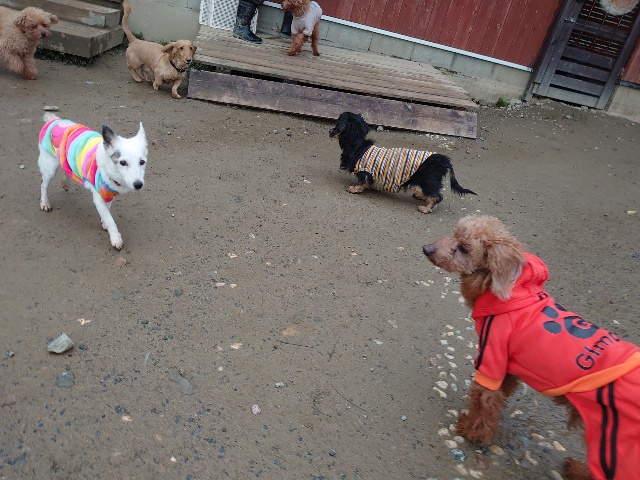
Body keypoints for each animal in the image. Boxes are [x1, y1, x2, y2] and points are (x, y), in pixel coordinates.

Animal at [38, 113, 148, 250]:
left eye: (142, 162)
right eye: (123, 162)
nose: (138, 184)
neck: (112, 172)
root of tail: (54, 120)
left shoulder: (108, 194)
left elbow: (107, 211)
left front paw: (104, 221)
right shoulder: (98, 197)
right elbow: (110, 219)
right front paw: (115, 237)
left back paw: (66, 183)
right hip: (50, 167)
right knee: (44, 185)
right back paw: (45, 202)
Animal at [329, 112, 476, 213]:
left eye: (336, 126)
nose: (329, 131)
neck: (358, 146)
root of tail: (443, 160)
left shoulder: (364, 171)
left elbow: (361, 182)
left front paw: (354, 188)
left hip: (428, 180)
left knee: (437, 196)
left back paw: (426, 208)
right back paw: (421, 196)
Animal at [423, 215, 640, 480]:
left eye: (464, 247)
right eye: (454, 233)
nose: (427, 249)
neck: (509, 292)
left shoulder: (492, 357)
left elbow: (483, 401)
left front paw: (471, 431)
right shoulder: (508, 367)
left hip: (614, 442)